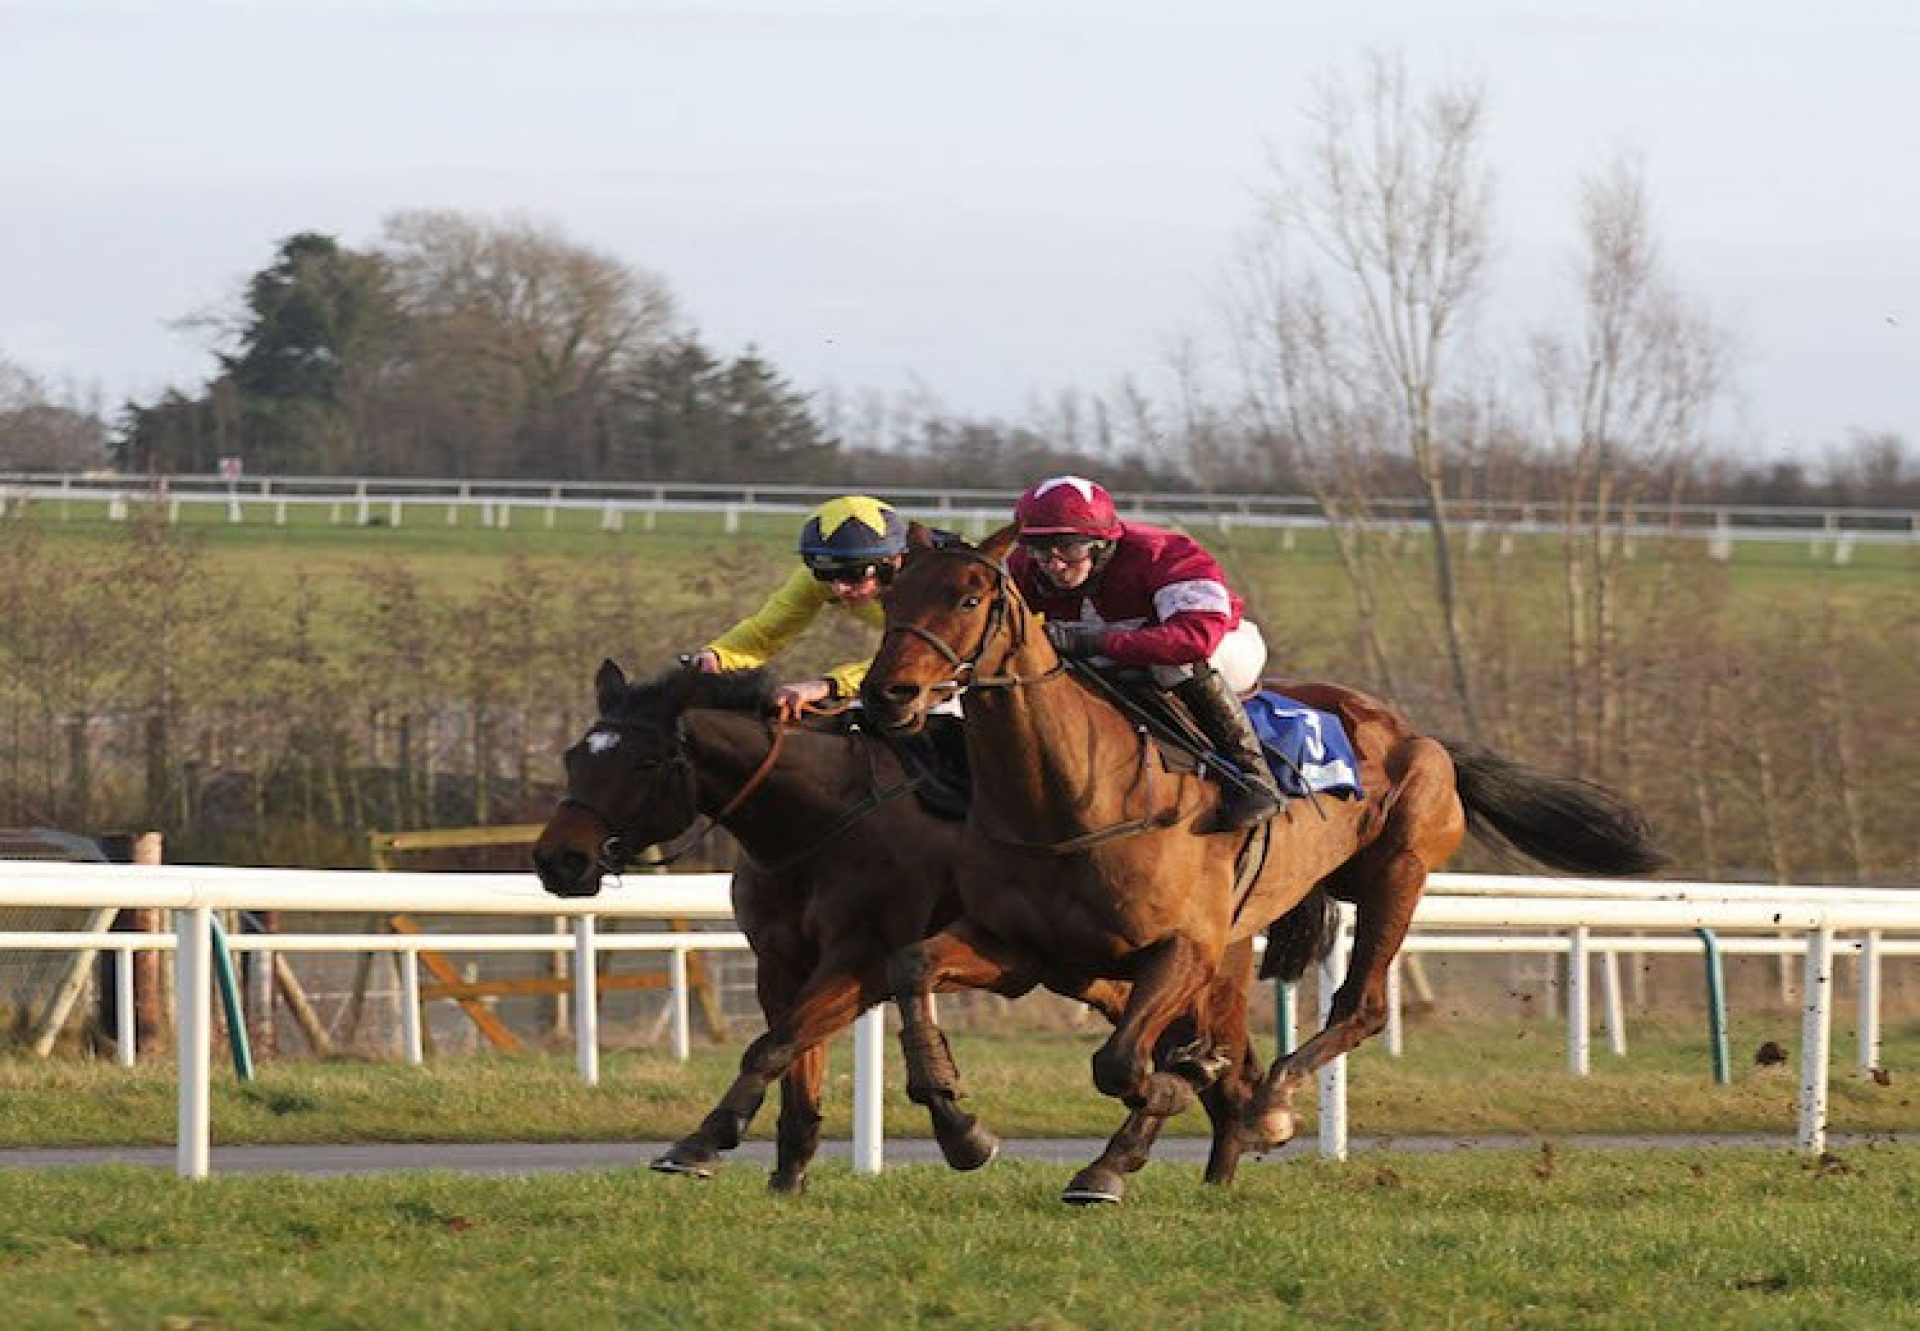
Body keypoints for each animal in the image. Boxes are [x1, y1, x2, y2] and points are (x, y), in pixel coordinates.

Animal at [533, 660, 1267, 1198]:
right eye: (573, 755)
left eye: (644, 762)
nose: (558, 859)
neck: (818, 816)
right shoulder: (781, 961)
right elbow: (794, 1056)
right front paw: (787, 1172)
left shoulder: (863, 957)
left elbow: (775, 1044)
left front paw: (706, 1140)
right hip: (1080, 966)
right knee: (1174, 1041)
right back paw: (1205, 1137)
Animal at [860, 526, 1666, 1167]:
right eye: (893, 598)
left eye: (969, 600)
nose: (886, 695)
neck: (1072, 795)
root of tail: (1419, 734)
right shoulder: (1023, 946)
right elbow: (909, 967)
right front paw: (960, 1126)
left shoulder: (1186, 945)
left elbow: (1123, 1063)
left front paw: (1187, 1089)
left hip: (1394, 877)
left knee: (1360, 1008)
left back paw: (1265, 1100)